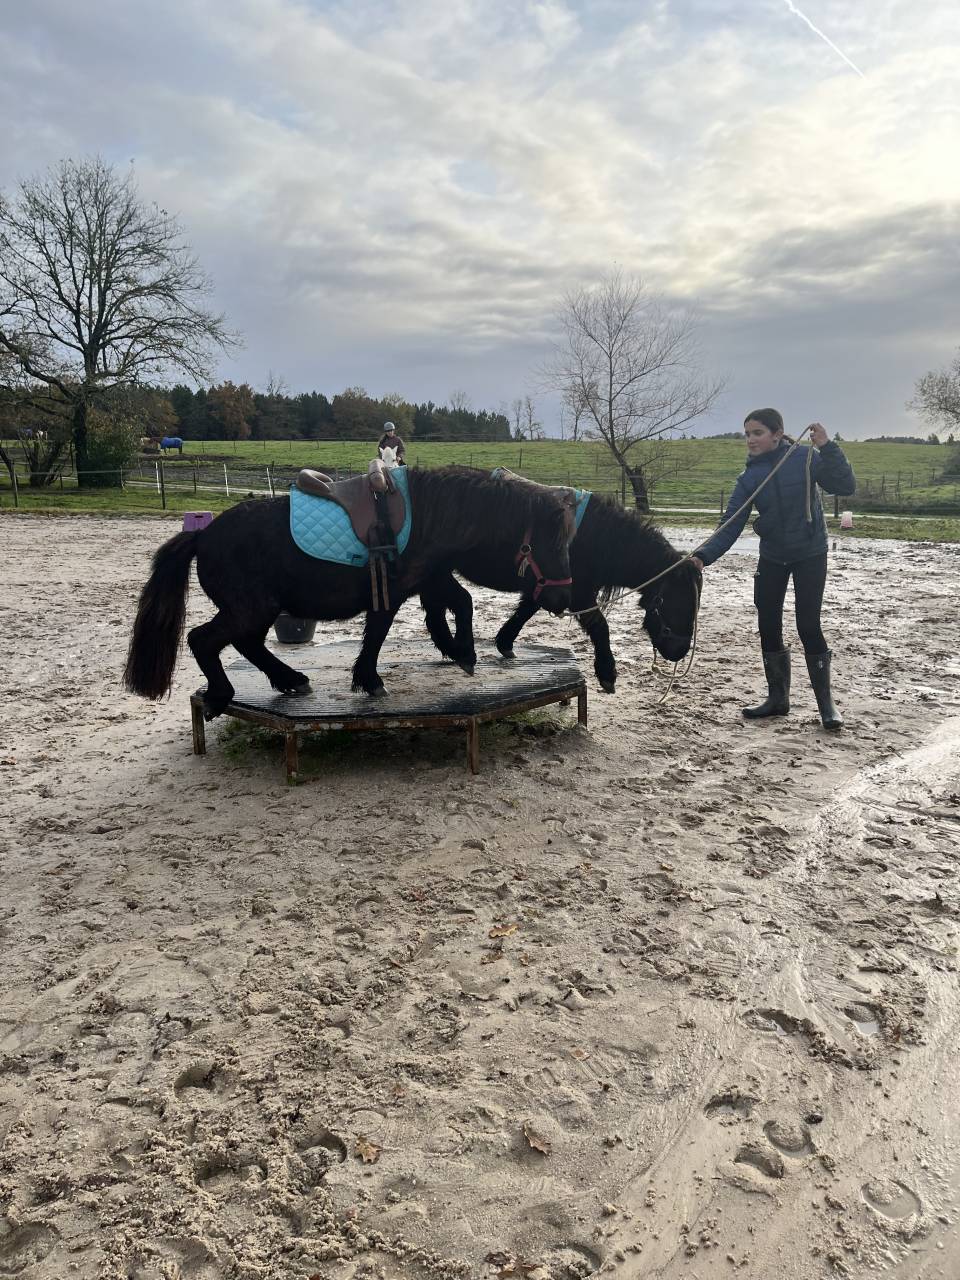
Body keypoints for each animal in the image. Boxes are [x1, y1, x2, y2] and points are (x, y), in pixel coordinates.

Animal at [124, 466, 574, 719]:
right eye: (551, 545)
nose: (563, 600)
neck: (430, 515)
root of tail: (203, 536)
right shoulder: (395, 588)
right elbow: (378, 632)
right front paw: (371, 680)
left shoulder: (428, 577)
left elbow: (460, 603)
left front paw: (462, 653)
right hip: (249, 608)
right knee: (205, 640)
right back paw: (223, 695)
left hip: (257, 610)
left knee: (247, 644)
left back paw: (290, 679)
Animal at [420, 490, 701, 693]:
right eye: (667, 599)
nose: (679, 651)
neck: (598, 538)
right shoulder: (578, 595)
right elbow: (600, 626)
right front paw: (607, 674)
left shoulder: (548, 587)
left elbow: (525, 611)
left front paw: (505, 643)